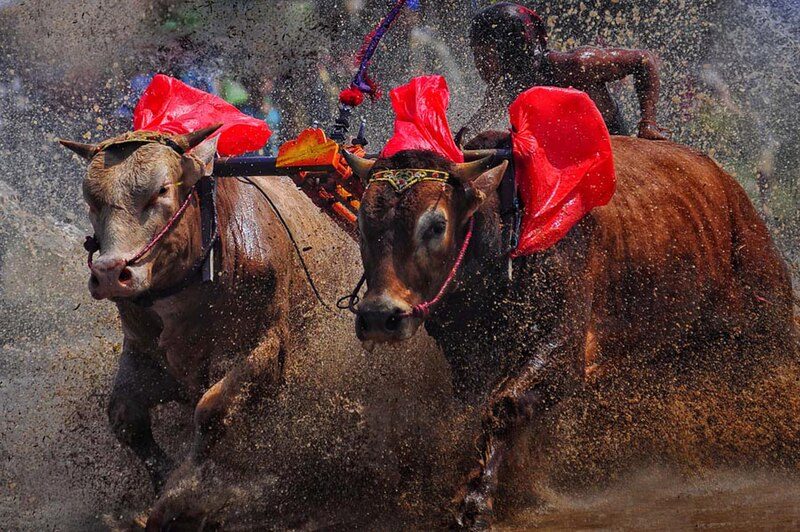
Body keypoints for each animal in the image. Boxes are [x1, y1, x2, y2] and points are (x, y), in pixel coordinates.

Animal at [59, 128, 318, 494]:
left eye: (162, 190)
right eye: (92, 201)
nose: (110, 273)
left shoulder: (268, 346)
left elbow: (211, 409)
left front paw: (183, 488)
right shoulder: (143, 352)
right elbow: (125, 417)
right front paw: (164, 480)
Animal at [342, 135, 792, 528]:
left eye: (436, 225)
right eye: (364, 220)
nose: (380, 315)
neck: (508, 233)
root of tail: (731, 191)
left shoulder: (565, 347)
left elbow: (503, 406)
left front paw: (476, 500)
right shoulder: (469, 357)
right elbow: (471, 411)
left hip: (768, 321)